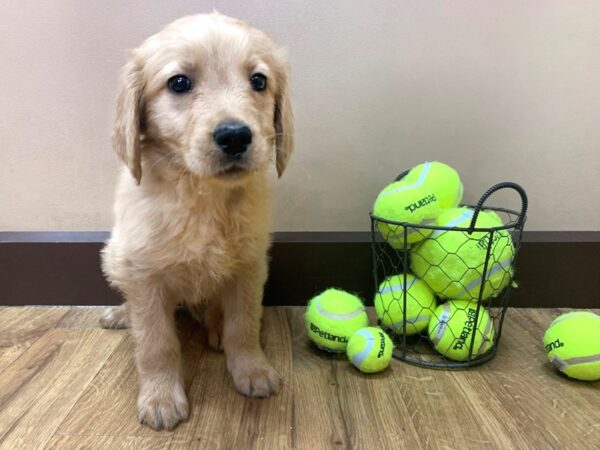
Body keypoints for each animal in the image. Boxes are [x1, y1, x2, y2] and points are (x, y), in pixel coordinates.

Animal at [100, 12, 292, 430]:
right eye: (179, 83)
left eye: (259, 81)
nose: (235, 136)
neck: (203, 195)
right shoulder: (142, 274)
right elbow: (155, 342)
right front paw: (160, 397)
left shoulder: (250, 266)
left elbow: (244, 324)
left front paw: (252, 370)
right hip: (115, 258)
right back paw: (121, 314)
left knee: (217, 311)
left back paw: (215, 327)